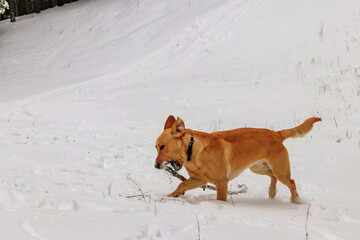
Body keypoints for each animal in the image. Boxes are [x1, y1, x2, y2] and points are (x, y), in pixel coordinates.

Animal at [154, 116, 320, 202]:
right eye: (156, 147)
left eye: (162, 147)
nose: (156, 166)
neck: (193, 151)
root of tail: (277, 134)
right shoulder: (199, 179)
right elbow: (181, 185)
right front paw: (171, 196)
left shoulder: (221, 182)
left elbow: (220, 199)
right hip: (257, 167)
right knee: (273, 177)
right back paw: (272, 192)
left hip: (280, 170)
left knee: (291, 182)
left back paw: (295, 200)